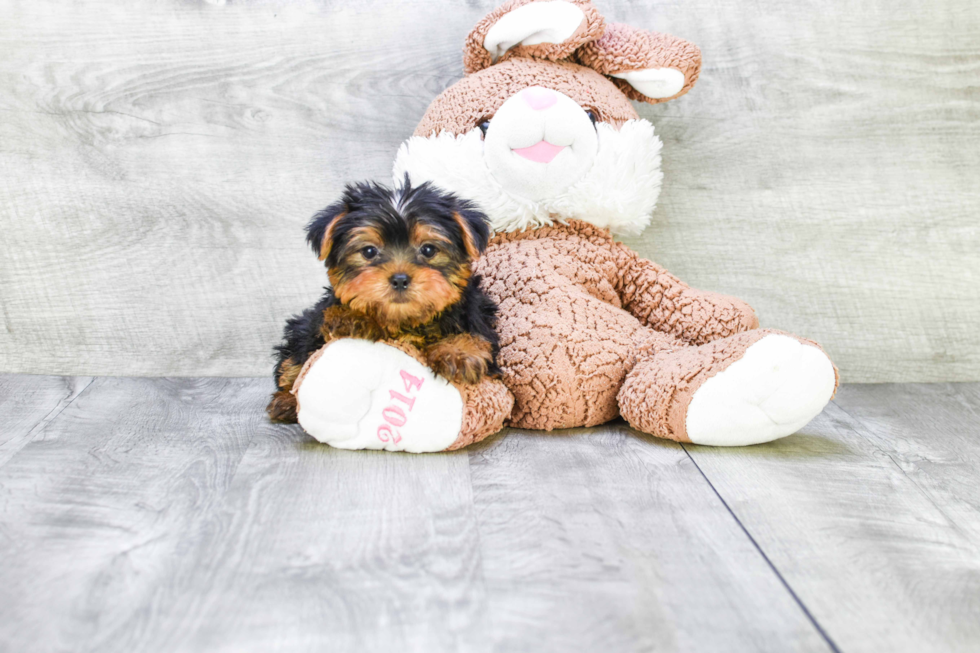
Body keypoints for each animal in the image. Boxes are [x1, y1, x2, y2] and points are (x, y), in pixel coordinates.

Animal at [266, 178, 498, 422]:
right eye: (369, 251)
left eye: (428, 249)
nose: (400, 279)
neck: (403, 321)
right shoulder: (316, 324)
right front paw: (352, 317)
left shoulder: (476, 311)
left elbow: (477, 333)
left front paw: (459, 351)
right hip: (301, 328)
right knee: (292, 362)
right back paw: (286, 401)